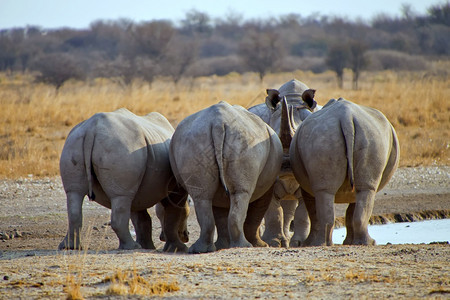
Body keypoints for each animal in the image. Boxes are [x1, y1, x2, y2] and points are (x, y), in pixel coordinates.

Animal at [58, 109, 190, 252]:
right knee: (120, 197)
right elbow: (173, 214)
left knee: (75, 193)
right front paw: (179, 248)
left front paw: (148, 247)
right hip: (121, 147)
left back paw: (69, 247)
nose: (186, 236)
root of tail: (91, 129)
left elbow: (141, 218)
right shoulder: (175, 189)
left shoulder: (139, 191)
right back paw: (132, 247)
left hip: (74, 142)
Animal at [171, 101, 284, 253]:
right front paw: (260, 245)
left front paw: (222, 246)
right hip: (243, 141)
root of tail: (218, 123)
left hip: (193, 140)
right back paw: (244, 246)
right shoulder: (267, 185)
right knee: (241, 193)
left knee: (202, 197)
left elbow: (220, 215)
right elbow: (256, 214)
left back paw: (200, 250)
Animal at [290, 98, 400, 246]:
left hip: (362, 136)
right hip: (348, 136)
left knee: (362, 190)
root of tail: (346, 116)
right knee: (357, 191)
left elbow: (347, 212)